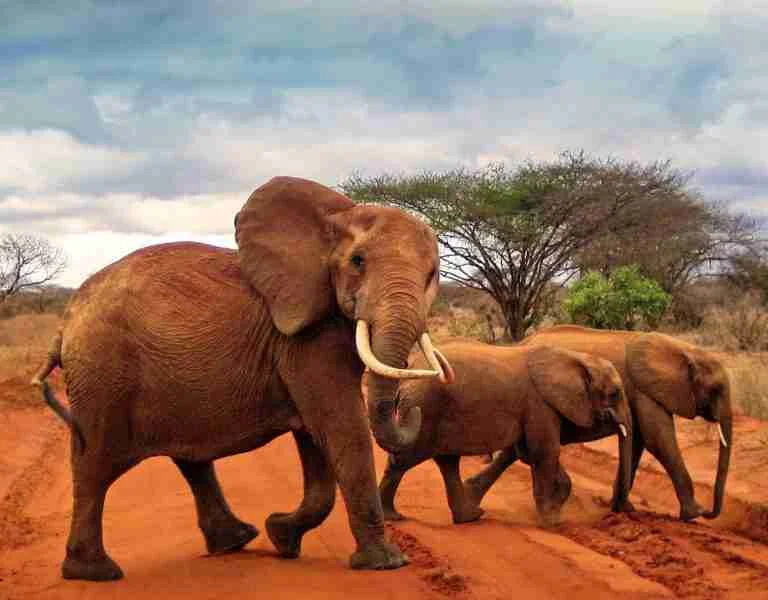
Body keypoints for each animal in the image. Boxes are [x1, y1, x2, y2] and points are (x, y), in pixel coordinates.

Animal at [31, 176, 455, 581]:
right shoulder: (304, 338)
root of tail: (65, 323)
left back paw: (237, 540)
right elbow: (340, 426)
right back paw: (96, 573)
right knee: (95, 465)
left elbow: (316, 439)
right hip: (103, 374)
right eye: (358, 261)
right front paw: (386, 563)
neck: (337, 218)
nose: (412, 408)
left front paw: (282, 537)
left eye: (432, 274)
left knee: (188, 457)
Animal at [372, 340, 633, 527]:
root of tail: (406, 377)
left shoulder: (537, 408)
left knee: (447, 462)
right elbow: (544, 452)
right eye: (614, 394)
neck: (576, 357)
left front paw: (555, 512)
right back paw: (392, 517)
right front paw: (552, 523)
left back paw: (469, 516)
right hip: (423, 412)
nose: (617, 514)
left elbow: (528, 452)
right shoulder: (539, 404)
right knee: (405, 460)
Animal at [469, 325, 731, 522]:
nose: (710, 512)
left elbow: (638, 440)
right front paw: (693, 514)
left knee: (518, 449)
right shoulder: (644, 389)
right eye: (716, 390)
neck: (684, 349)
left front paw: (624, 509)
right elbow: (657, 439)